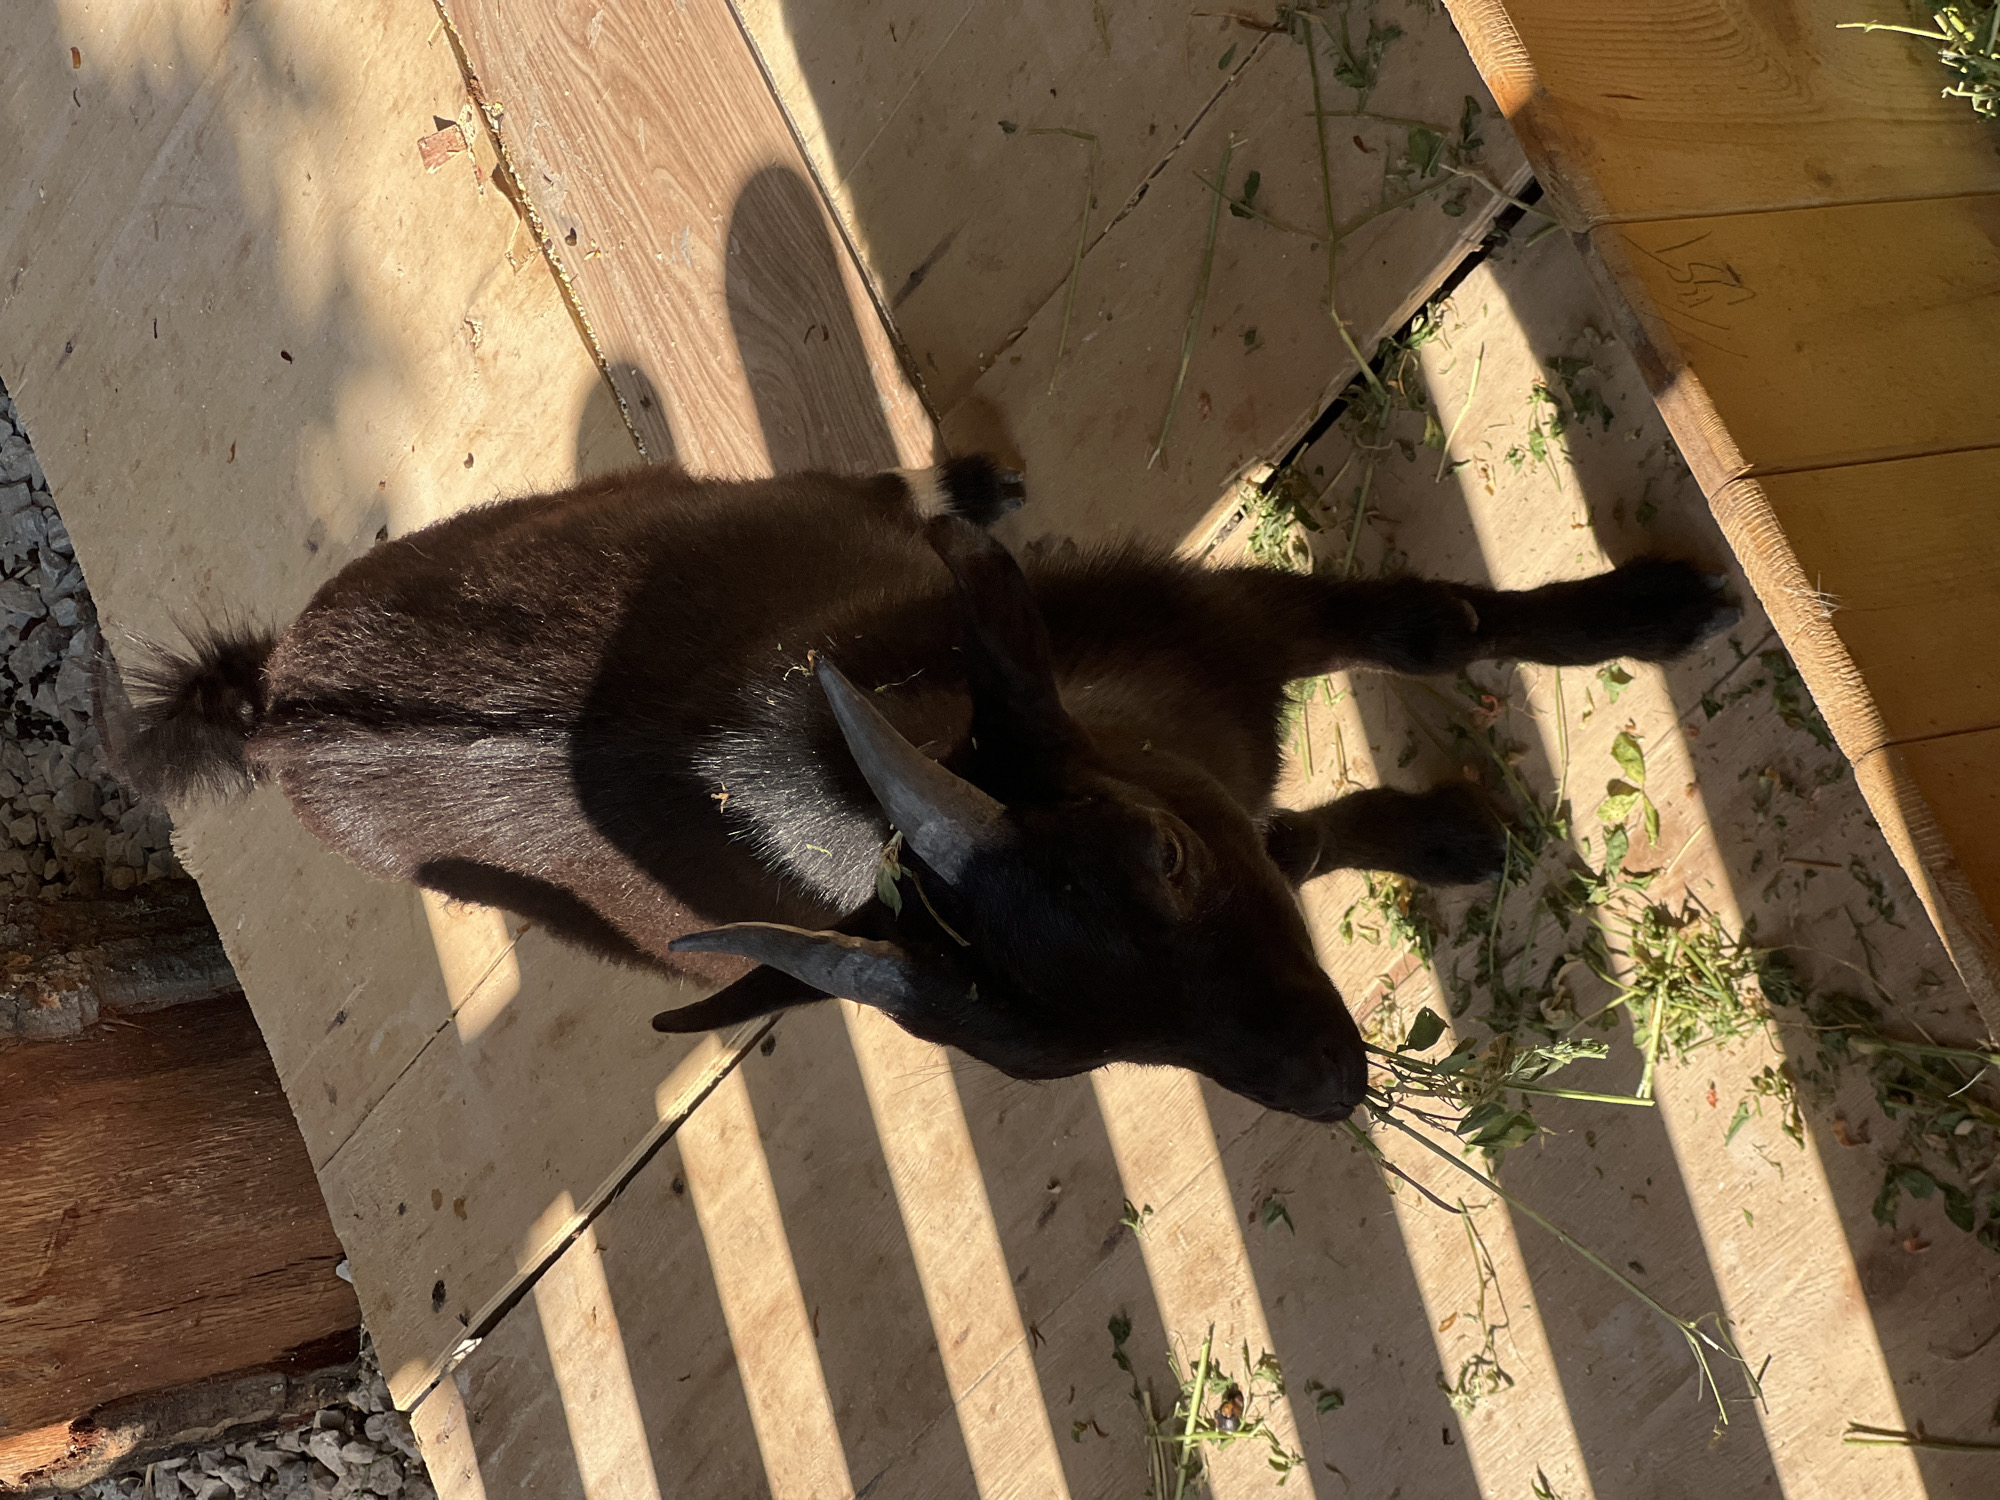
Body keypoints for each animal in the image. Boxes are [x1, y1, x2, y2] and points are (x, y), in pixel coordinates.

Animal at [101, 456, 1733, 1121]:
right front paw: (1451, 836)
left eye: (1158, 860)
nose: (1327, 1087)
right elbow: (1303, 836)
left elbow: (1421, 631)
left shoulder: (1224, 623)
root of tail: (277, 705)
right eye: (1068, 1060)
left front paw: (1659, 610)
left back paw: (951, 490)